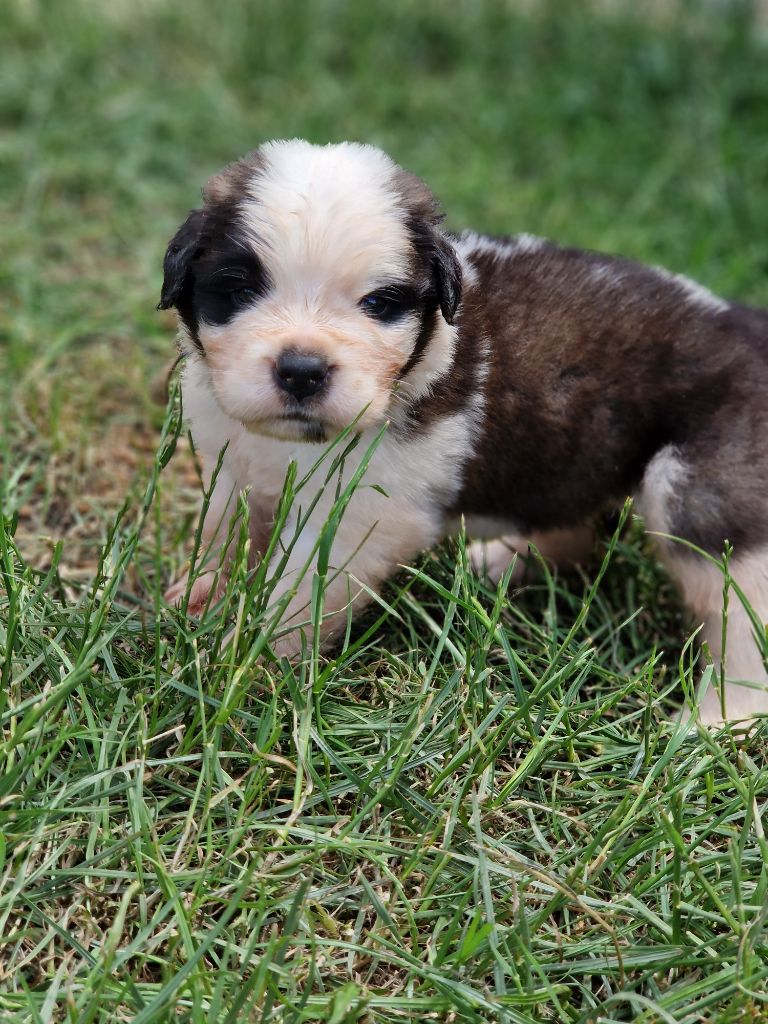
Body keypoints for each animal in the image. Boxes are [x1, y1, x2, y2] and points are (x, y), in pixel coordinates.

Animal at [160, 140, 768, 724]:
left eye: (378, 303)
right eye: (238, 291)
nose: (302, 370)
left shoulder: (367, 516)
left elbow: (297, 592)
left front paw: (240, 664)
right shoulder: (234, 460)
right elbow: (226, 528)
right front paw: (203, 595)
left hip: (703, 494)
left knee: (740, 612)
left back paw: (720, 719)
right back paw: (497, 562)